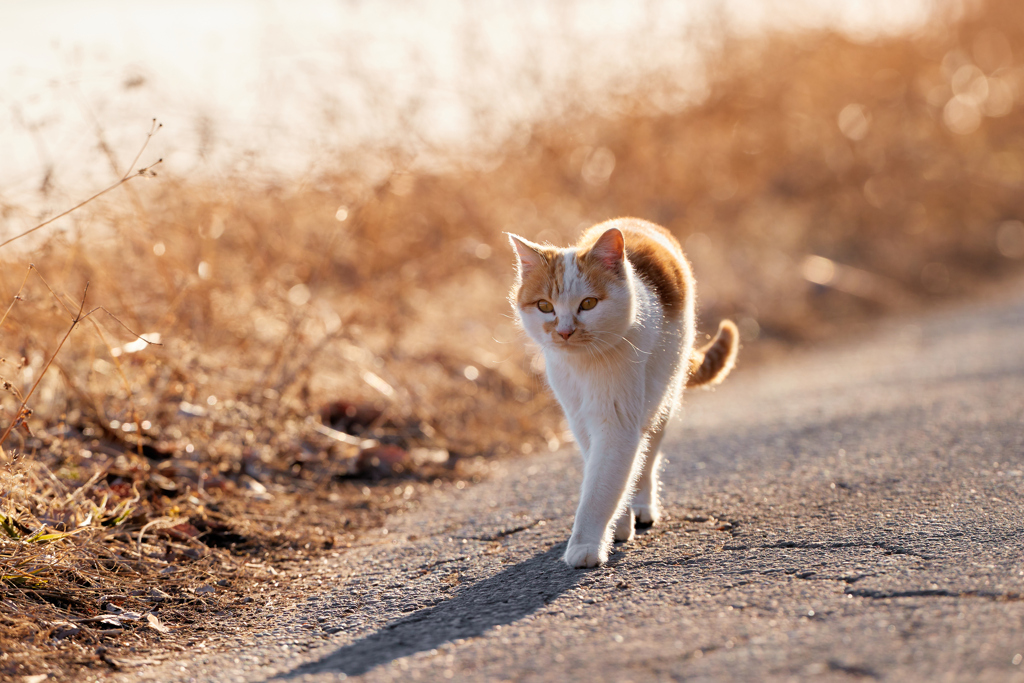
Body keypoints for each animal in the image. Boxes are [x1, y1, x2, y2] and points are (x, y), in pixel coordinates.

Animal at [509, 218, 737, 565]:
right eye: (544, 306)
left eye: (588, 304)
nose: (564, 332)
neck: (584, 366)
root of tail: (635, 222)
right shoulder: (578, 417)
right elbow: (603, 473)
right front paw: (617, 524)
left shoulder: (618, 421)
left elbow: (602, 487)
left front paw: (586, 545)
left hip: (661, 395)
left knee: (648, 453)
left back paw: (643, 506)